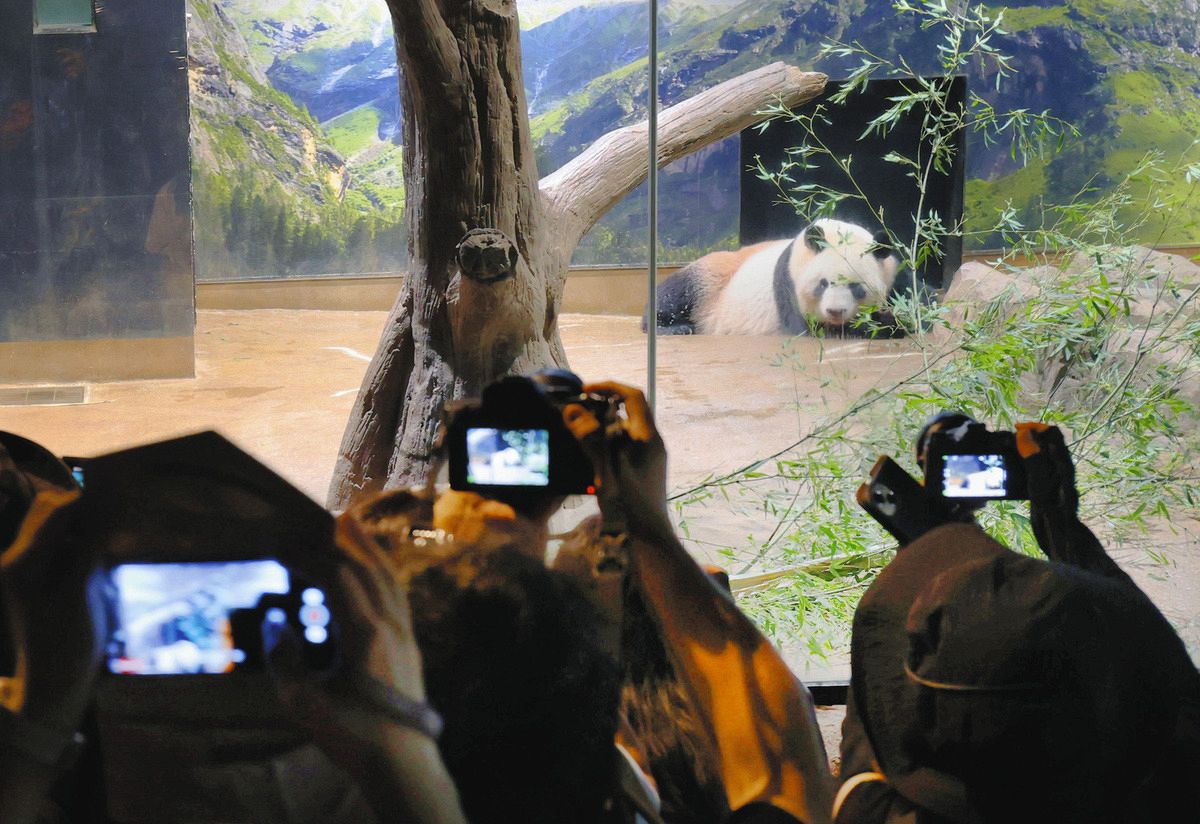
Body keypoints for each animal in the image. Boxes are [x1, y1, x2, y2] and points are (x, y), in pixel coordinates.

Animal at [652, 220, 897, 335]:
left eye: (857, 287)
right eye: (822, 284)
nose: (835, 312)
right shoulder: (789, 278)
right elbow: (812, 328)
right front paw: (884, 325)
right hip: (711, 280)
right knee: (676, 293)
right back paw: (673, 327)